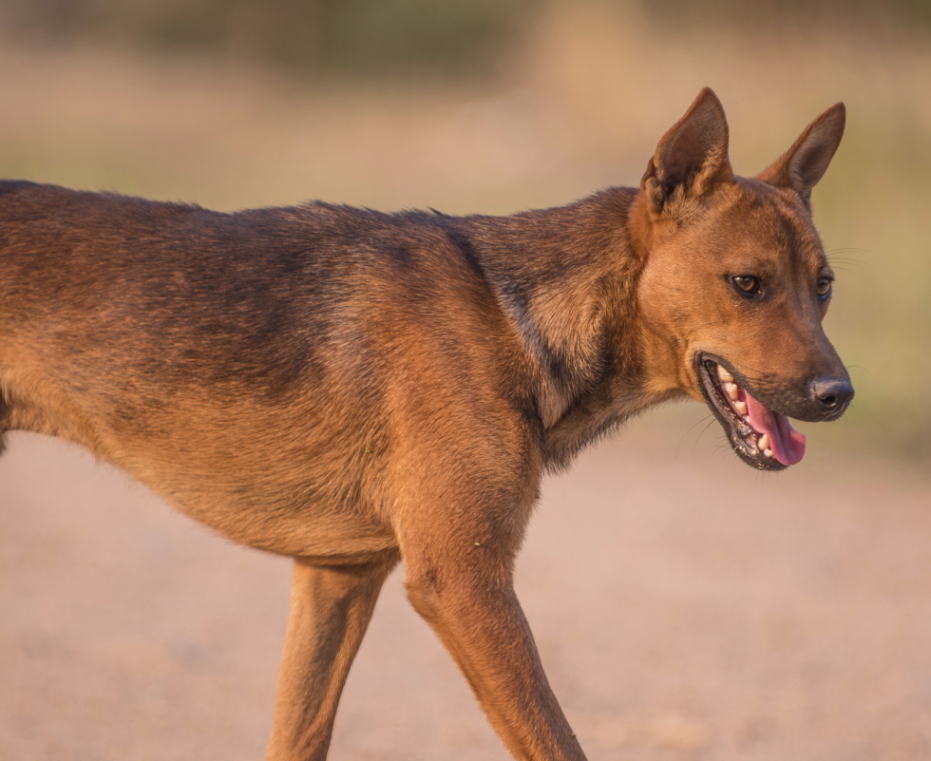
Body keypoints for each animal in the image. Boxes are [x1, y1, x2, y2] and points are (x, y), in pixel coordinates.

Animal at [1, 90, 852, 760]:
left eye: (823, 286)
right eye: (746, 284)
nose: (838, 392)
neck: (515, 316)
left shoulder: (338, 576)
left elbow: (298, 733)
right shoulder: (463, 585)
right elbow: (556, 742)